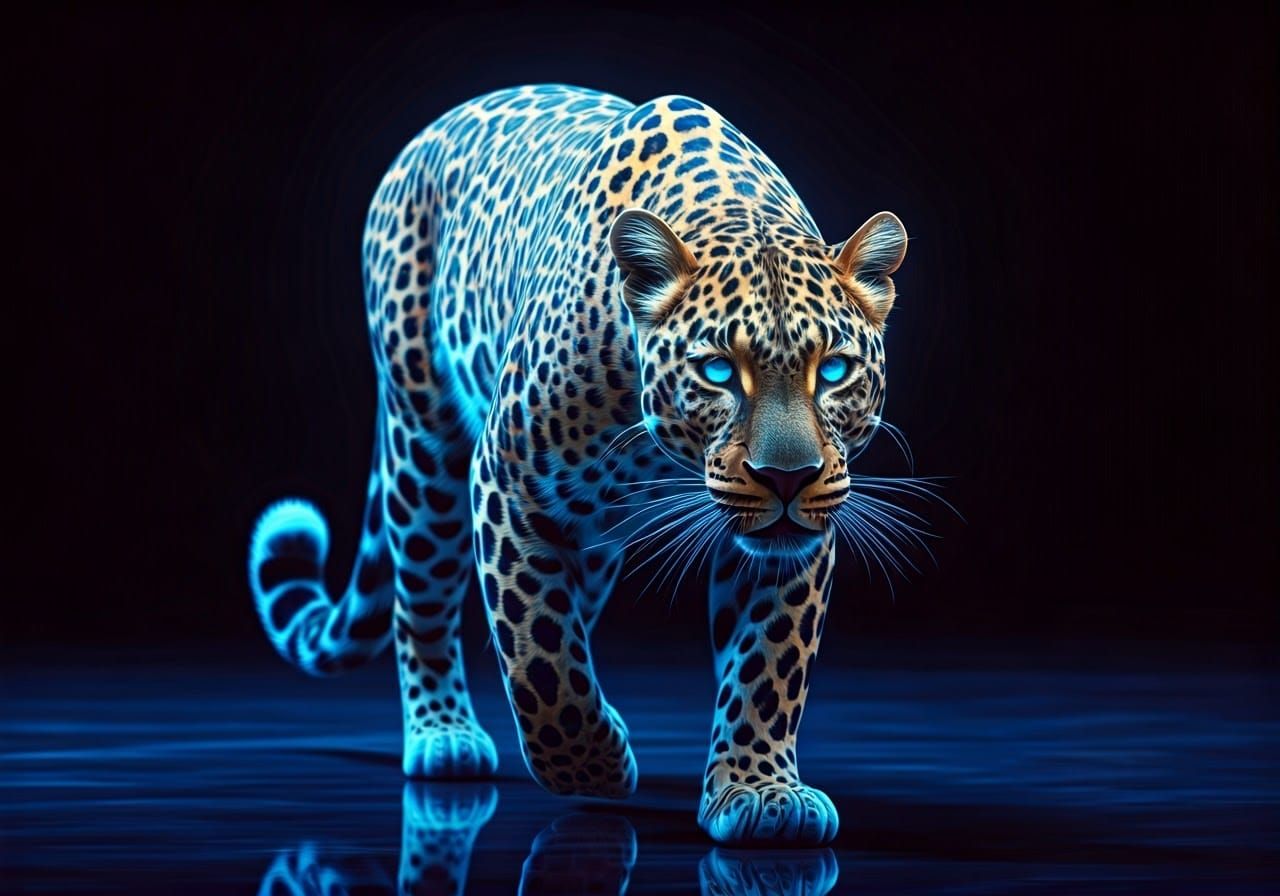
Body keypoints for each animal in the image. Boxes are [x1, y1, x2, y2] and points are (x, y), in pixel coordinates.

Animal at [248, 83, 909, 846]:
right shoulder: (506, 481)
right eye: (717, 370)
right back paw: (444, 735)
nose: (787, 477)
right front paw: (590, 767)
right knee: (424, 598)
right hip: (423, 443)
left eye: (833, 370)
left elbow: (770, 663)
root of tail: (431, 130)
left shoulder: (795, 535)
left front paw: (759, 790)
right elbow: (538, 652)